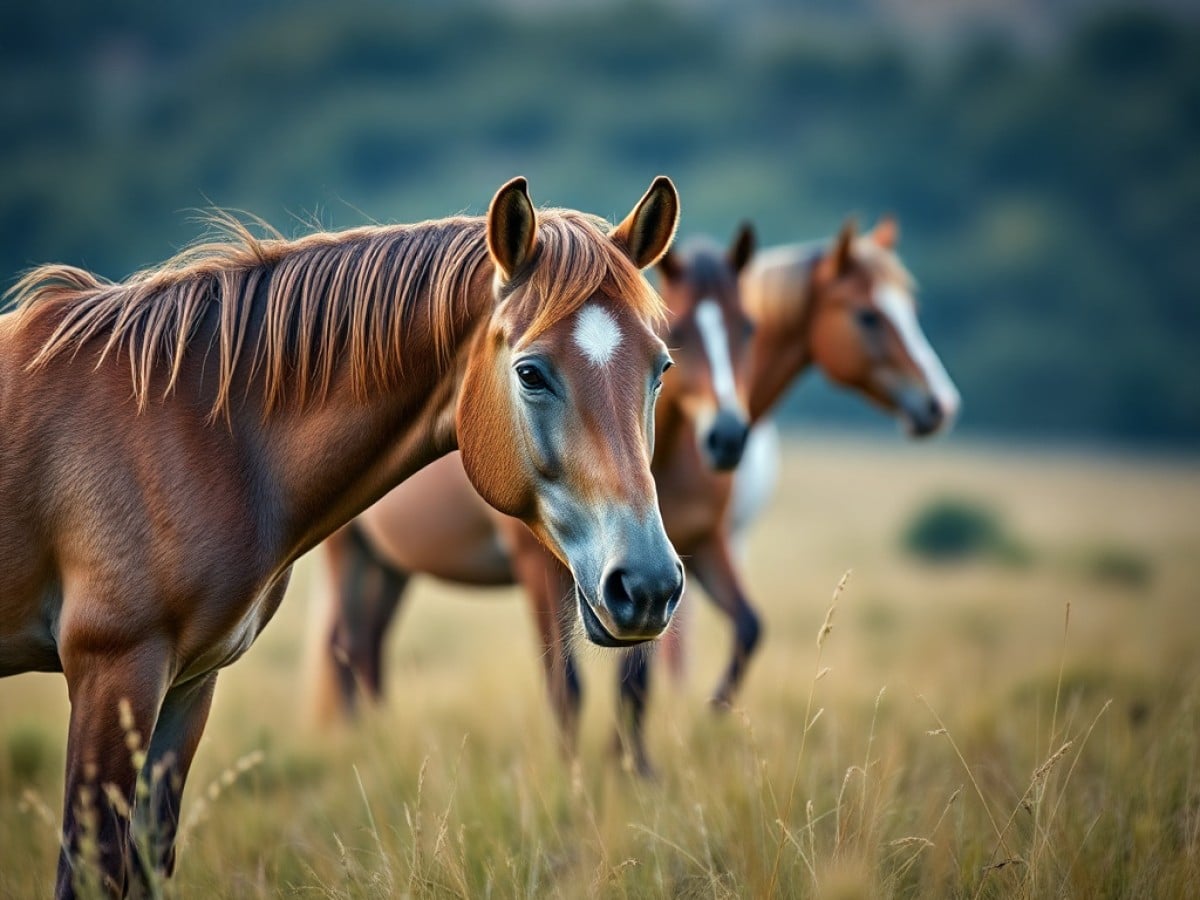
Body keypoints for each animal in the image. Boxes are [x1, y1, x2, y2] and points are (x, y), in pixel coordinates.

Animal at [0, 175, 684, 897]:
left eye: (661, 368)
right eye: (531, 373)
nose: (647, 585)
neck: (197, 432)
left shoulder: (187, 684)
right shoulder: (113, 671)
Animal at [310, 226, 758, 767]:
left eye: (662, 365)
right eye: (529, 374)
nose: (728, 436)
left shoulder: (675, 561)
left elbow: (658, 671)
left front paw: (638, 768)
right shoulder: (542, 564)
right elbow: (566, 687)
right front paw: (575, 780)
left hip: (391, 564)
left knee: (367, 647)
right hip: (348, 550)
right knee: (346, 644)